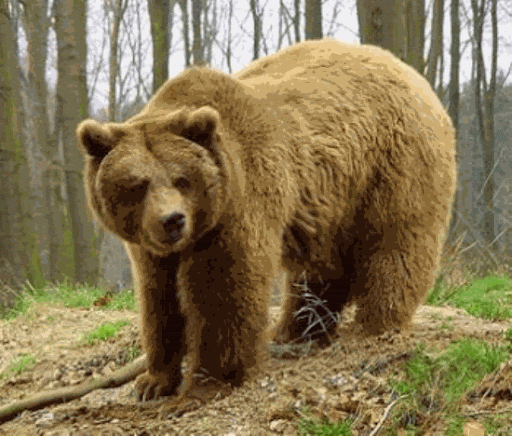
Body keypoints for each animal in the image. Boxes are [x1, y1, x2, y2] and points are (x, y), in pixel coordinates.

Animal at [76, 40, 456, 402]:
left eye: (182, 179)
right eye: (137, 185)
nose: (173, 220)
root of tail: (412, 73)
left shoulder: (236, 204)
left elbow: (224, 289)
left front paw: (207, 382)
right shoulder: (150, 247)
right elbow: (158, 299)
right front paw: (153, 381)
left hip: (393, 163)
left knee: (395, 242)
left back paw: (377, 322)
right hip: (331, 200)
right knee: (322, 267)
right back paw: (298, 330)